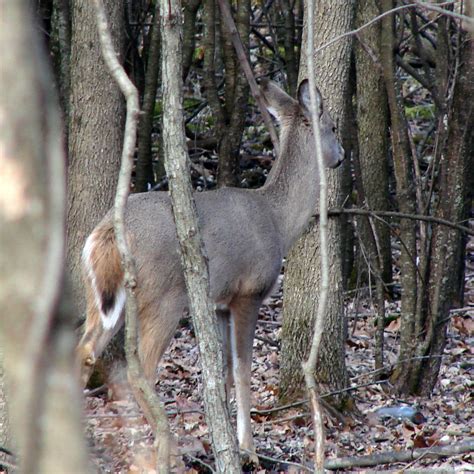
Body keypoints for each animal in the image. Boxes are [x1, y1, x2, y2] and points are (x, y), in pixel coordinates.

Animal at [78, 78, 344, 456]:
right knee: (140, 368)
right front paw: (247, 446)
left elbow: (225, 372)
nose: (342, 156)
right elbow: (244, 369)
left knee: (84, 350)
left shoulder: (220, 303)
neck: (278, 221)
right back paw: (169, 444)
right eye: (333, 127)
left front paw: (224, 436)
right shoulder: (250, 290)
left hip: (100, 293)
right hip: (165, 295)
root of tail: (108, 234)